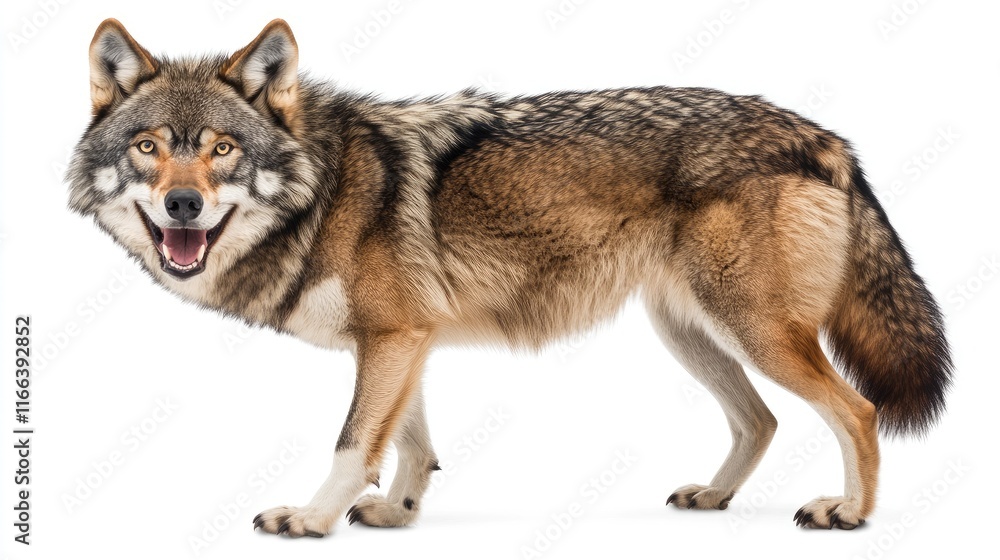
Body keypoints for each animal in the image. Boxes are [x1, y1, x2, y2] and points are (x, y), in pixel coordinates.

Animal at [68, 19, 952, 536]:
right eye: (149, 147)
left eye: (222, 149)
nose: (183, 204)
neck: (321, 190)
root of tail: (823, 134)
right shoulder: (406, 340)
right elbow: (412, 442)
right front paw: (399, 512)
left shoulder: (392, 338)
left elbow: (353, 441)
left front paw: (313, 519)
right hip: (693, 334)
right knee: (761, 421)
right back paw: (713, 497)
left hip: (753, 331)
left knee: (857, 411)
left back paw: (850, 512)